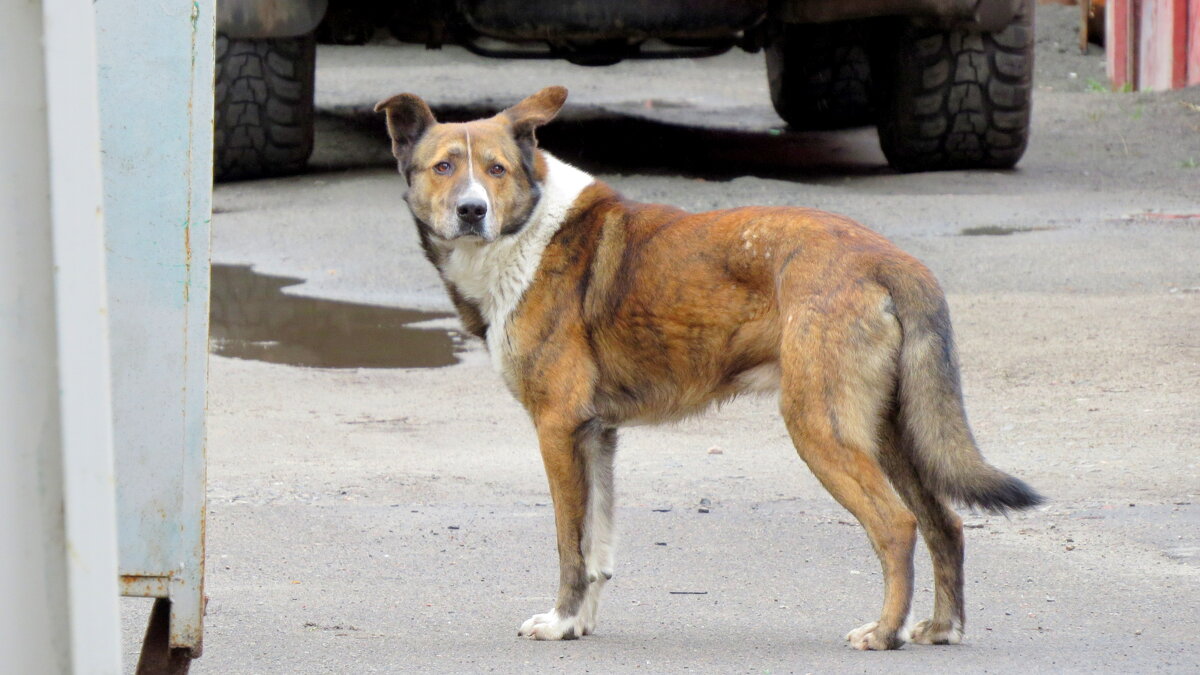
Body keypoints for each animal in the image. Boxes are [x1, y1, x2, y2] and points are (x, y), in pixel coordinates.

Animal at [374, 86, 1041, 648]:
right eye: (443, 167)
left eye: (496, 170)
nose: (471, 210)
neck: (529, 231)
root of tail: (889, 257)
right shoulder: (595, 435)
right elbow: (597, 550)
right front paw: (581, 625)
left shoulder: (557, 430)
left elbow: (569, 543)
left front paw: (559, 623)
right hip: (891, 433)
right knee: (945, 523)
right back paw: (941, 628)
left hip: (820, 427)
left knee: (898, 525)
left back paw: (884, 633)